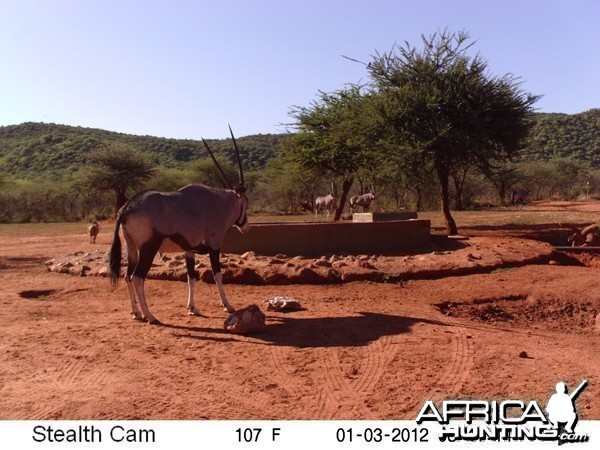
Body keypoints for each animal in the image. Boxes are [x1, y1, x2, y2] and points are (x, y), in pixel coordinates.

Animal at [108, 126, 248, 324]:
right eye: (246, 203)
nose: (246, 226)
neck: (218, 203)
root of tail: (127, 207)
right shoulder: (214, 246)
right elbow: (218, 275)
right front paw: (227, 306)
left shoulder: (189, 250)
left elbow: (191, 278)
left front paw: (192, 308)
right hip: (148, 248)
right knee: (137, 277)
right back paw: (150, 316)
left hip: (132, 247)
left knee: (128, 276)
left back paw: (136, 312)